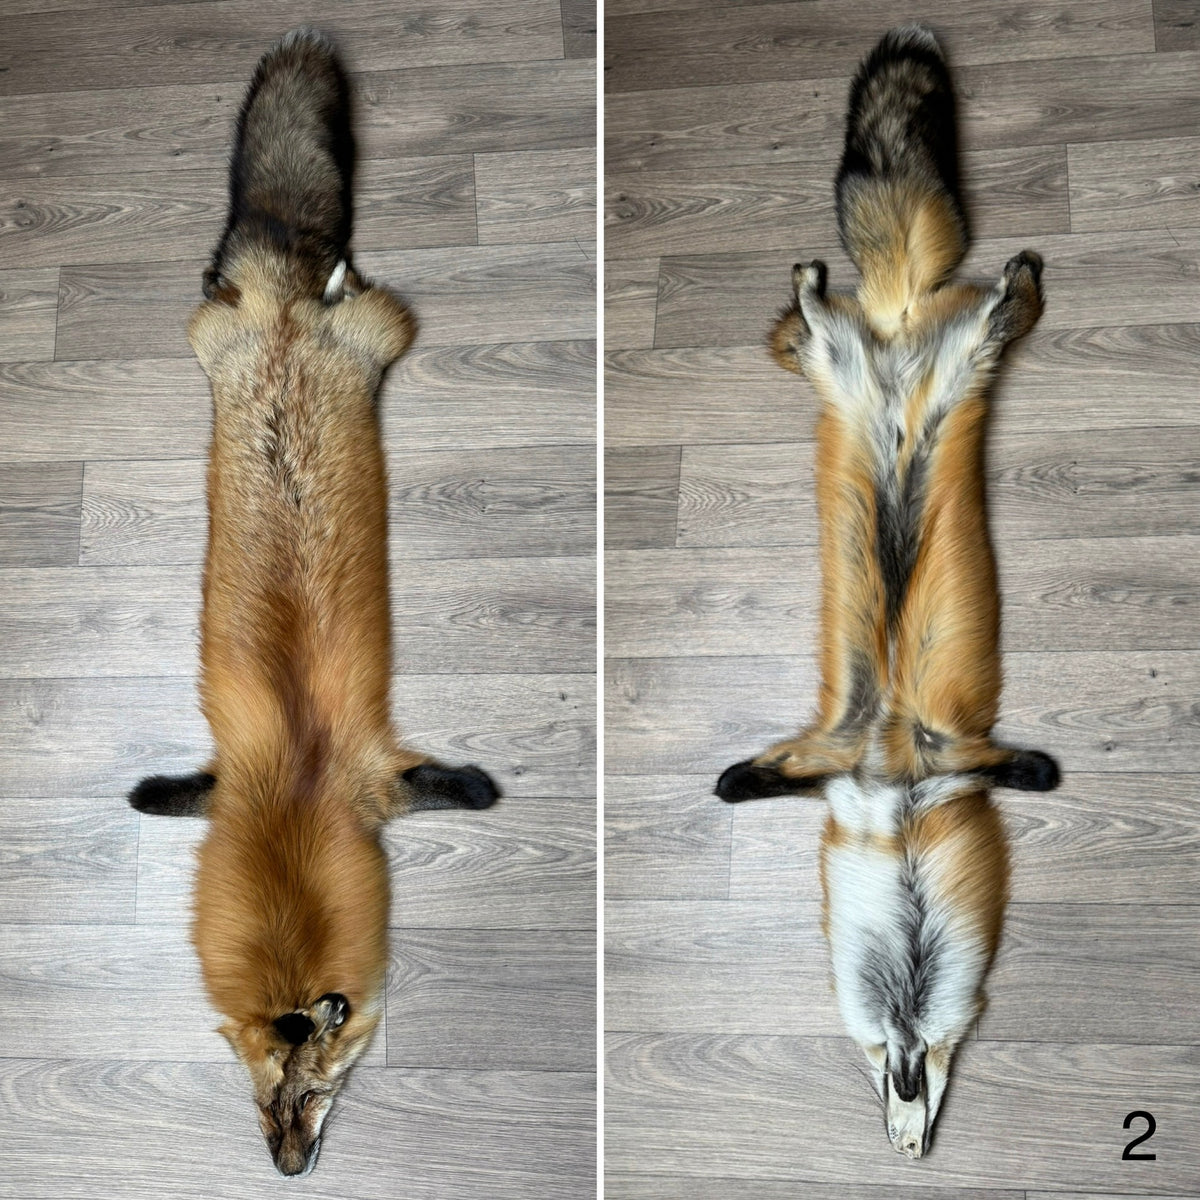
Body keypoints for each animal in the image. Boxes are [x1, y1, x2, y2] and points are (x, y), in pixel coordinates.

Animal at [126, 29, 500, 1177]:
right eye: (263, 1100)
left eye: (320, 1092)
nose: (288, 1173)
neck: (291, 796)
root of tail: (284, 308)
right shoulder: (228, 782)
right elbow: (165, 796)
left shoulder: (374, 778)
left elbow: (454, 788)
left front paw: (485, 792)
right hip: (213, 333)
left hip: (380, 330)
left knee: (349, 289)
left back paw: (333, 271)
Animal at [714, 25, 1061, 1159]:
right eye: (879, 1067)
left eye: (934, 1072)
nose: (910, 1145)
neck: (900, 801)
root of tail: (900, 317)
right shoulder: (834, 757)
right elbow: (748, 783)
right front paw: (730, 783)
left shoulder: (945, 754)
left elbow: (1024, 768)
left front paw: (1039, 770)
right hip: (844, 359)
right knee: (809, 313)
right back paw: (813, 271)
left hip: (967, 362)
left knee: (998, 307)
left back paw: (1012, 276)